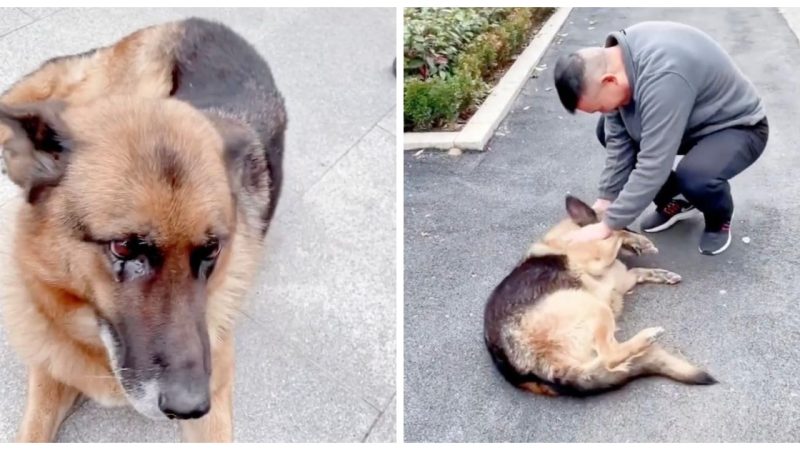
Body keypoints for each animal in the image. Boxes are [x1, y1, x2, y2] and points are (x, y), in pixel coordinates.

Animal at [484, 195, 716, 396]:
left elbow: (639, 270)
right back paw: (647, 336)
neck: (567, 235)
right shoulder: (600, 258)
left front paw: (662, 274)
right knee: (609, 357)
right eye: (626, 224)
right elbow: (614, 234)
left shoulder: (623, 279)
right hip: (595, 308)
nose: (639, 237)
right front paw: (639, 240)